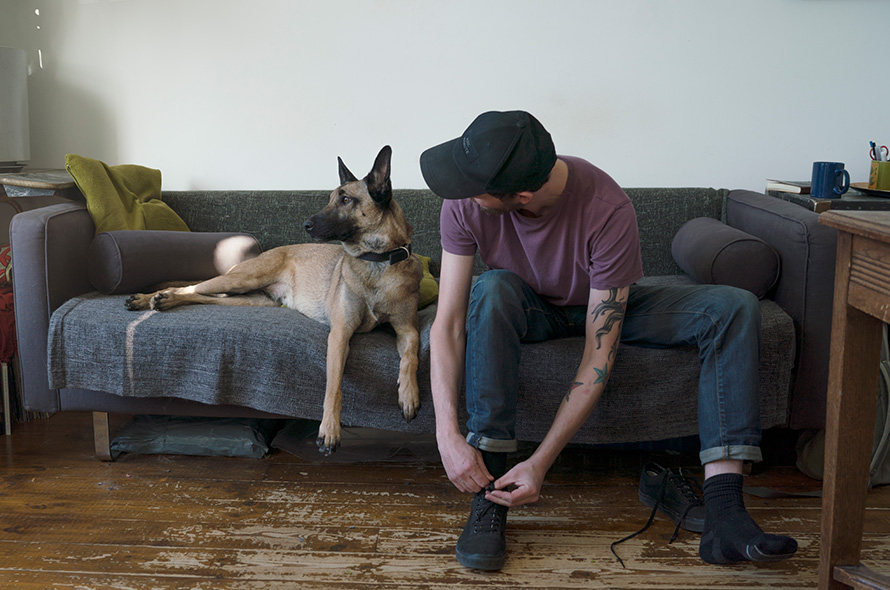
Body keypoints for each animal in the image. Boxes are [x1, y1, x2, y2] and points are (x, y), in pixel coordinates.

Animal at [124, 146, 424, 456]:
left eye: (345, 199)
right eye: (331, 198)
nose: (305, 224)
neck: (378, 262)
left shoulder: (407, 329)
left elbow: (411, 355)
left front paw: (408, 394)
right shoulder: (340, 334)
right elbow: (334, 386)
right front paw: (329, 429)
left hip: (251, 300)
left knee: (203, 296)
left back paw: (163, 301)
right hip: (241, 279)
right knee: (190, 286)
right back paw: (151, 298)